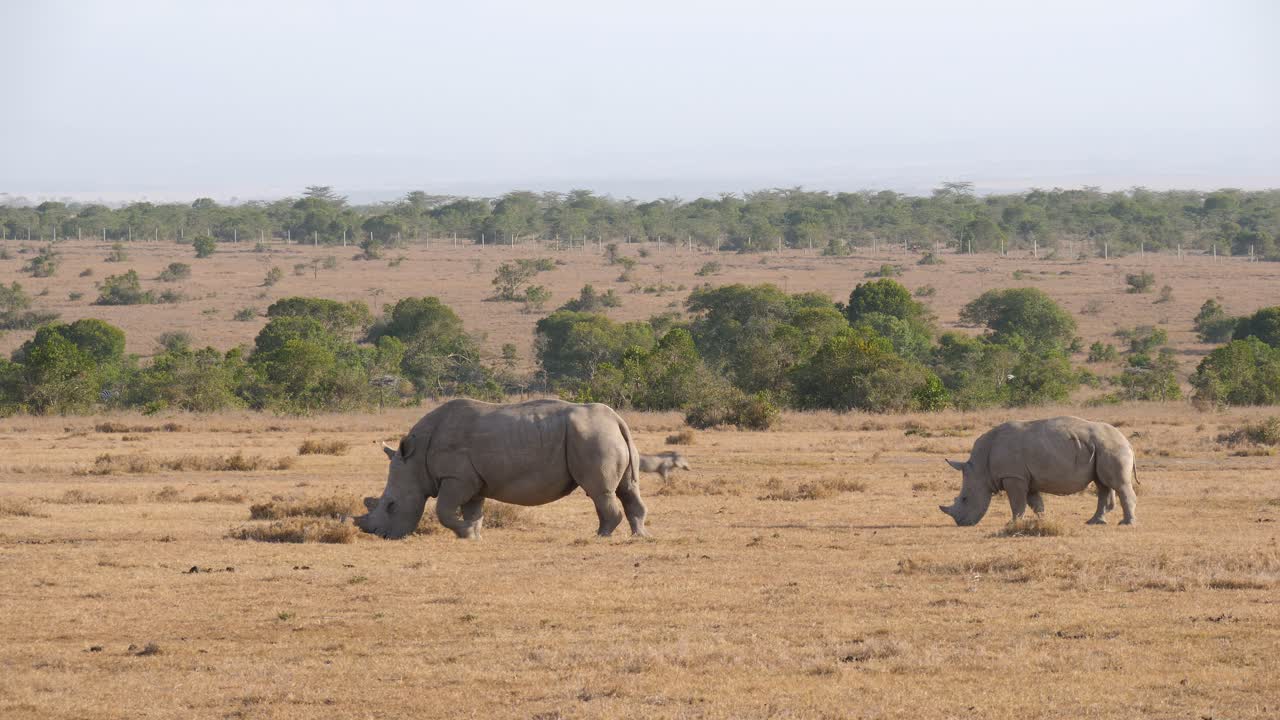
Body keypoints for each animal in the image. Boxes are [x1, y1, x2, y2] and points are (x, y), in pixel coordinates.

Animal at [355, 398, 647, 539]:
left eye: (391, 505)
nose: (382, 536)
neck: (416, 460)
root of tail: (617, 419)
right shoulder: (472, 481)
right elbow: (473, 511)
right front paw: (472, 534)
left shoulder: (456, 478)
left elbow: (443, 511)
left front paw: (465, 532)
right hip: (604, 434)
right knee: (628, 489)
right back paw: (639, 536)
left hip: (592, 435)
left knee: (600, 492)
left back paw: (601, 536)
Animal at [939, 416, 1137, 526]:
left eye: (965, 499)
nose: (961, 524)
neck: (980, 468)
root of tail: (1127, 442)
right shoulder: (1026, 478)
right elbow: (1035, 503)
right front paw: (1042, 521)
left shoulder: (1013, 476)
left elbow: (1017, 503)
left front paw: (1012, 523)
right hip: (1101, 448)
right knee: (1102, 484)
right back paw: (1094, 522)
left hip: (1112, 447)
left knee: (1118, 485)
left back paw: (1126, 523)